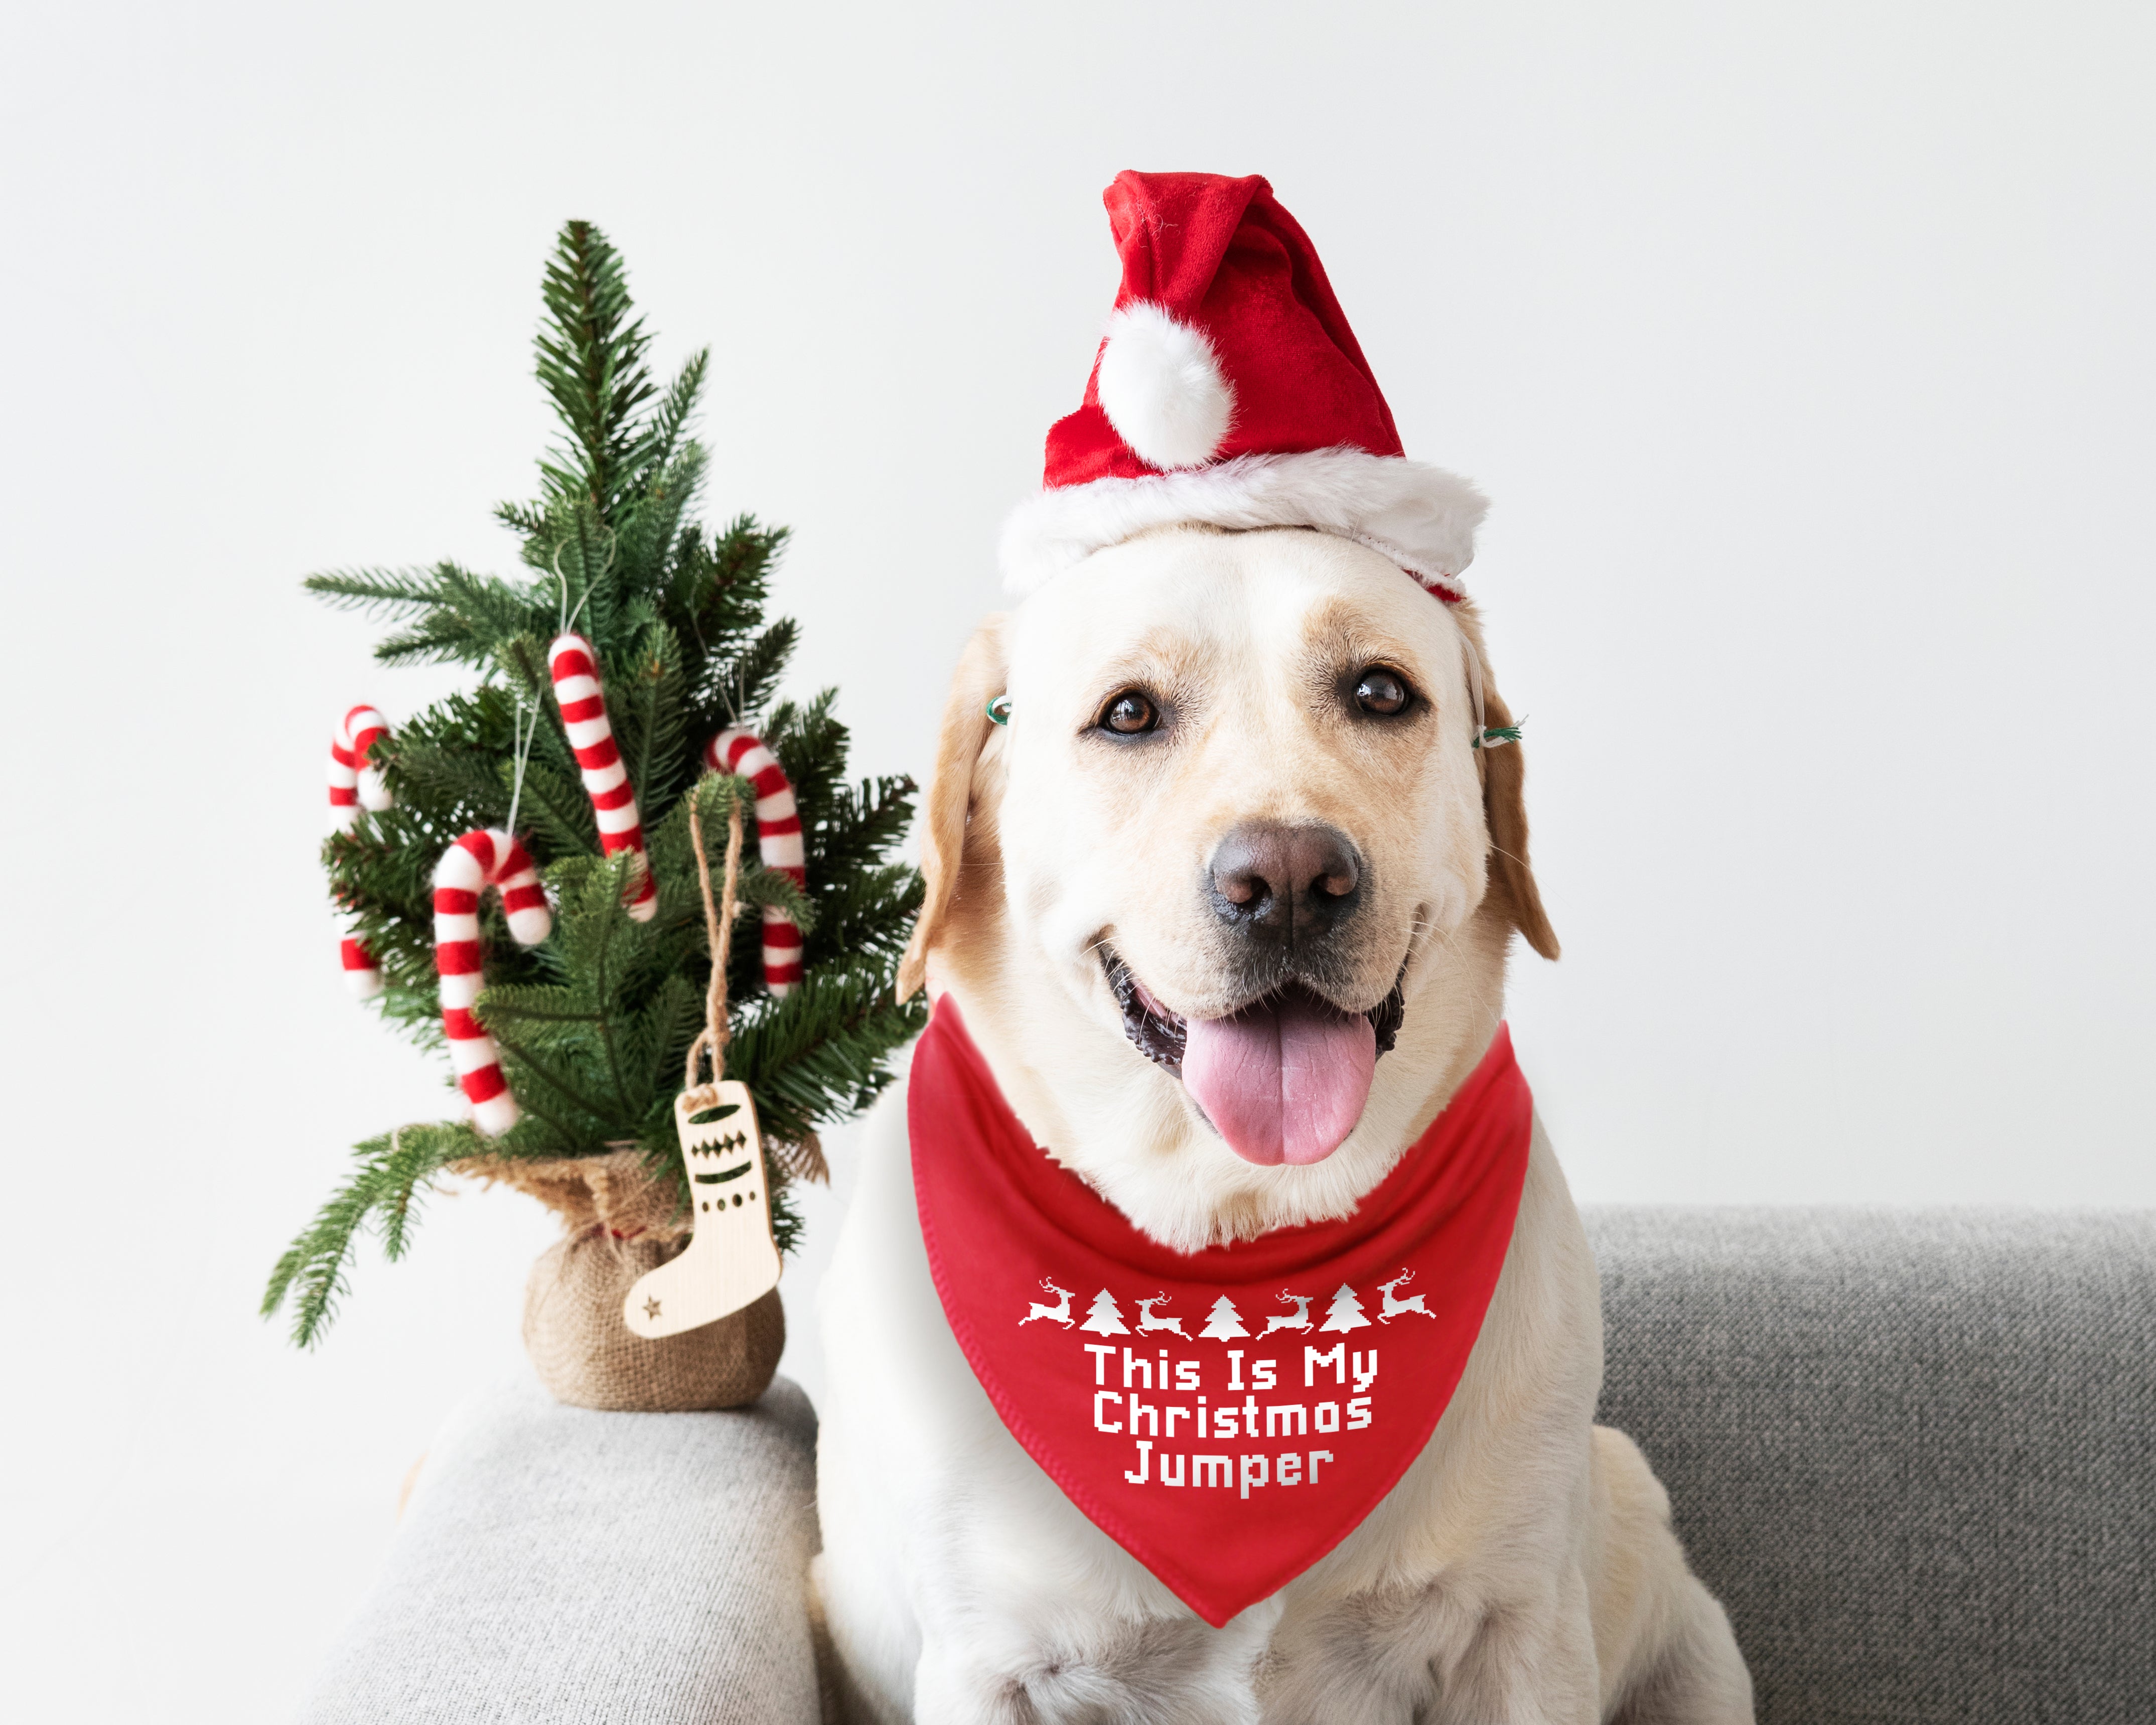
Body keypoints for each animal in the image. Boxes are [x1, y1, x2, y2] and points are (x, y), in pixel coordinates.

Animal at [810, 528, 1751, 1725]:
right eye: (1128, 714)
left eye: (1381, 692)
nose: (1294, 880)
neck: (1238, 1234)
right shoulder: (993, 1662)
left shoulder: (1518, 1632)